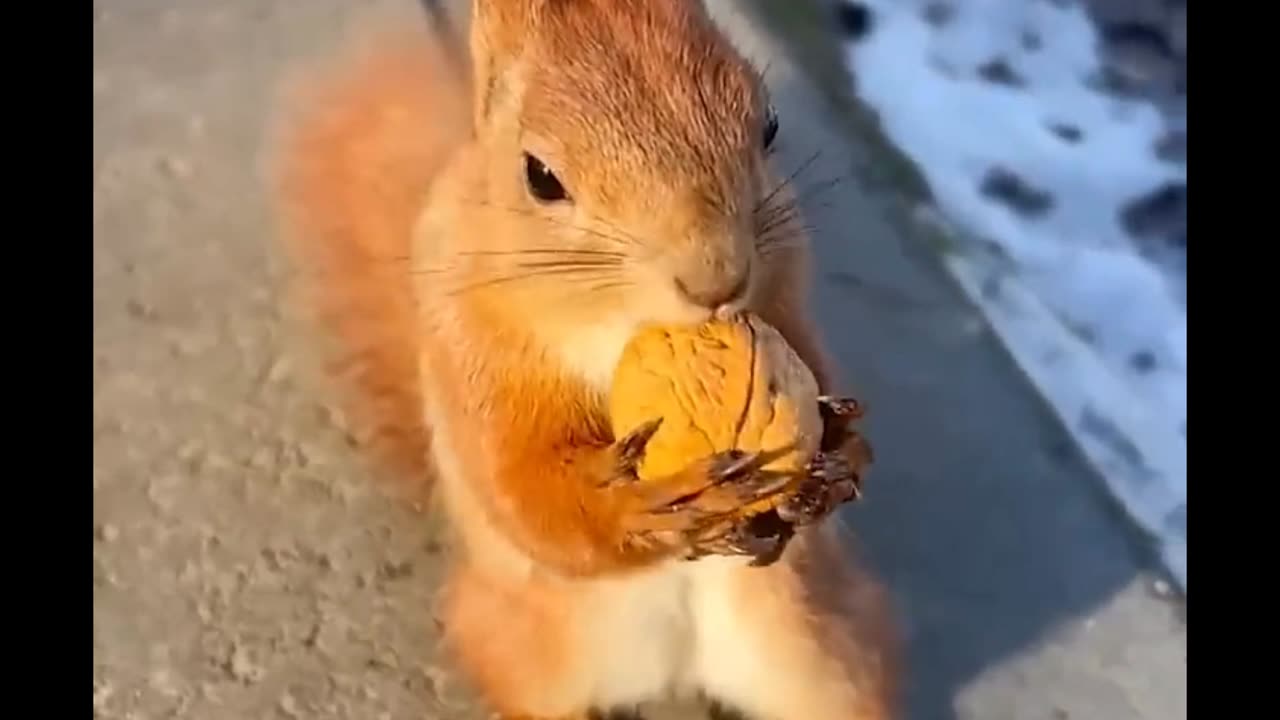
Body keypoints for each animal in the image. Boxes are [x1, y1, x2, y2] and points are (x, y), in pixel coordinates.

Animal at [275, 1, 901, 717]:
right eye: (540, 177)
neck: (622, 325)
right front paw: (638, 504)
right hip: (522, 654)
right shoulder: (466, 334)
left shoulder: (785, 284)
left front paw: (842, 448)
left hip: (830, 654)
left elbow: (811, 359)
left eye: (769, 126)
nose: (716, 280)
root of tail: (676, 671)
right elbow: (518, 483)